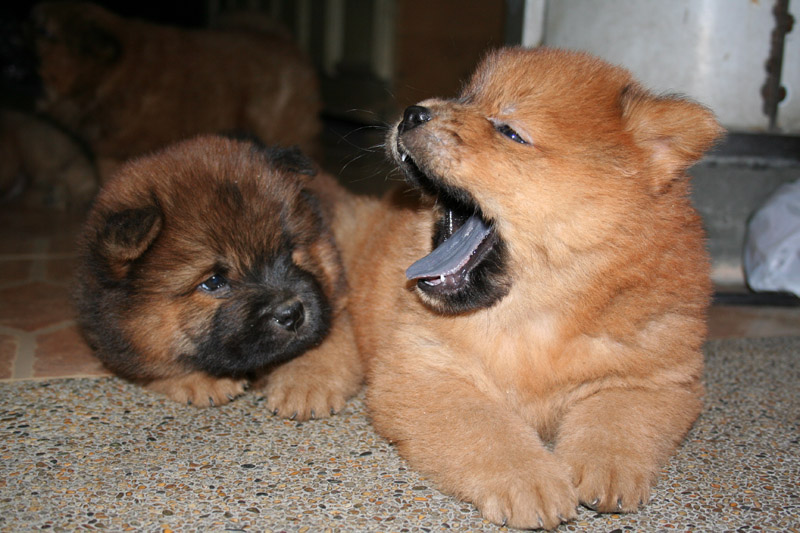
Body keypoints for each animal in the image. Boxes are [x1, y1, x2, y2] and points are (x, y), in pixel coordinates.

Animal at [344, 48, 724, 528]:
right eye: (467, 97)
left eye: (509, 131)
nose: (413, 112)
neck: (536, 316)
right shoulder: (423, 369)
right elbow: (487, 429)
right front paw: (531, 483)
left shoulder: (655, 377)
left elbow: (618, 419)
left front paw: (607, 469)